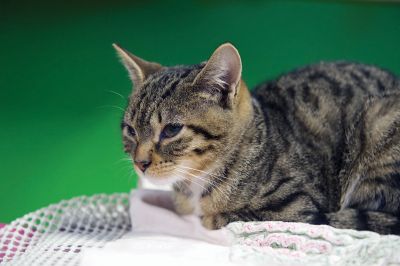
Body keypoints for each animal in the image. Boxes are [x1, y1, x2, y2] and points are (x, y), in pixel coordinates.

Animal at [112, 42, 400, 235]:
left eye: (171, 130)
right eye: (131, 130)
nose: (140, 163)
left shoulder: (297, 205)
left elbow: (239, 216)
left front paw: (212, 216)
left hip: (378, 123)